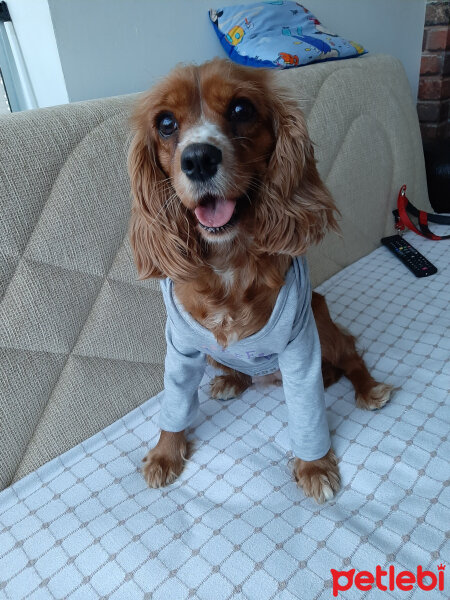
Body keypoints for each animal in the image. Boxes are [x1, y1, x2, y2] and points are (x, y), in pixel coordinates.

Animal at [126, 58, 390, 504]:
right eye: (165, 123)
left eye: (240, 109)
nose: (198, 159)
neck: (228, 261)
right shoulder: (181, 348)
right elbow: (175, 403)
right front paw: (165, 454)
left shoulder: (301, 345)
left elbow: (308, 414)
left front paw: (314, 466)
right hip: (213, 353)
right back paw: (232, 379)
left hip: (321, 322)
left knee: (352, 355)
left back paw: (368, 389)